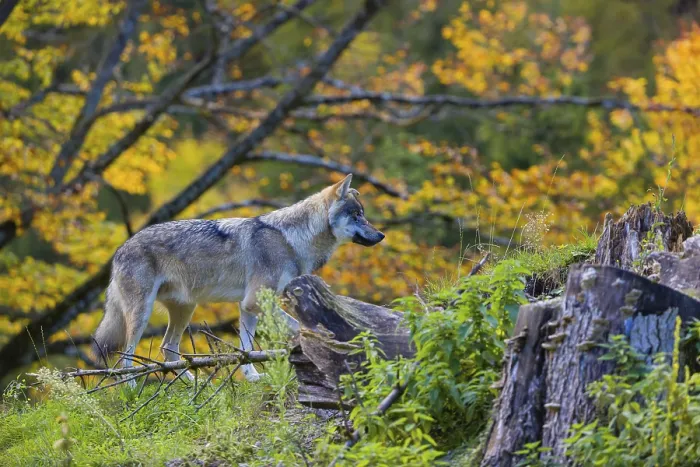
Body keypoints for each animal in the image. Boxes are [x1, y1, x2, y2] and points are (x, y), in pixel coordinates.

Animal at [93, 174, 384, 381]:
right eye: (357, 215)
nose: (381, 235)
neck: (292, 240)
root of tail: (119, 251)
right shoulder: (255, 302)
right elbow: (296, 327)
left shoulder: (248, 307)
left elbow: (247, 348)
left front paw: (253, 377)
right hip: (142, 314)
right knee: (124, 357)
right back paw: (131, 391)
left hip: (185, 309)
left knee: (168, 349)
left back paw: (194, 386)